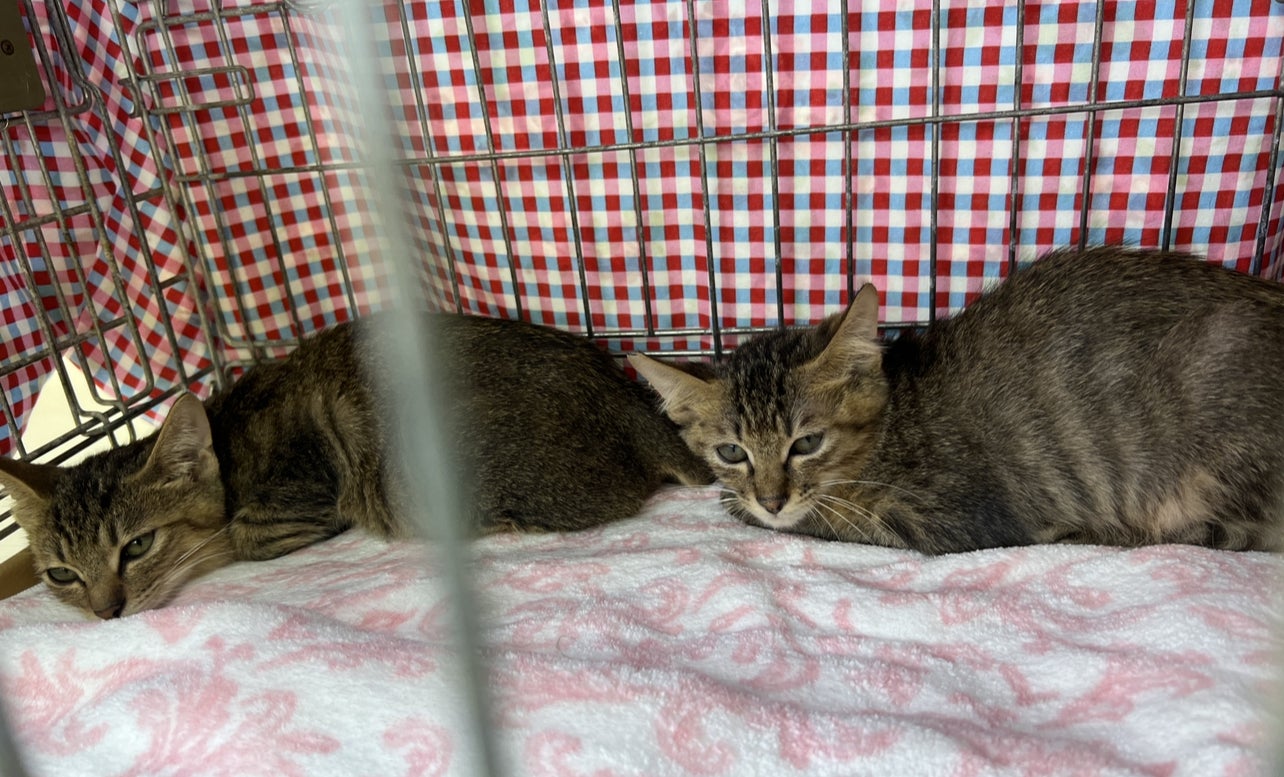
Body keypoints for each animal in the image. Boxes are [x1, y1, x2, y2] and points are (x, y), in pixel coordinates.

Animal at [0, 313, 711, 619]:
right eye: (61, 574)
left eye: (137, 546)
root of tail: (630, 402)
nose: (107, 611)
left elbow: (248, 535)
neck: (228, 438)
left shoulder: (299, 493)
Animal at [631, 246, 1284, 554]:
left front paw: (749, 510)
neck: (894, 425)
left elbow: (824, 521)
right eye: (732, 452)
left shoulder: (955, 518)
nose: (770, 500)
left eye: (807, 443)